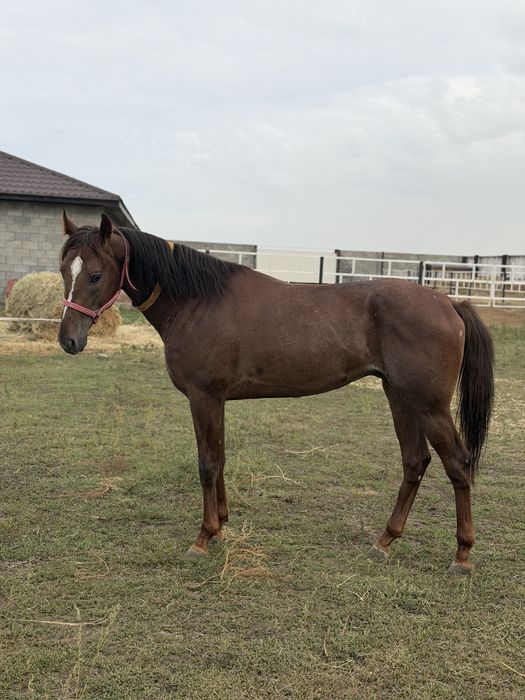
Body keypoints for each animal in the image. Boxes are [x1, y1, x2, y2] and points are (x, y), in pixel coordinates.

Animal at [58, 213, 494, 575]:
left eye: (94, 276)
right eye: (64, 270)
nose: (68, 340)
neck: (199, 302)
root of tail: (450, 303)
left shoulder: (203, 398)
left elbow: (207, 464)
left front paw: (203, 537)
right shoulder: (216, 401)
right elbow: (220, 458)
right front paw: (221, 527)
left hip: (429, 406)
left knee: (457, 463)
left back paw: (462, 556)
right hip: (400, 398)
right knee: (415, 462)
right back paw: (384, 541)